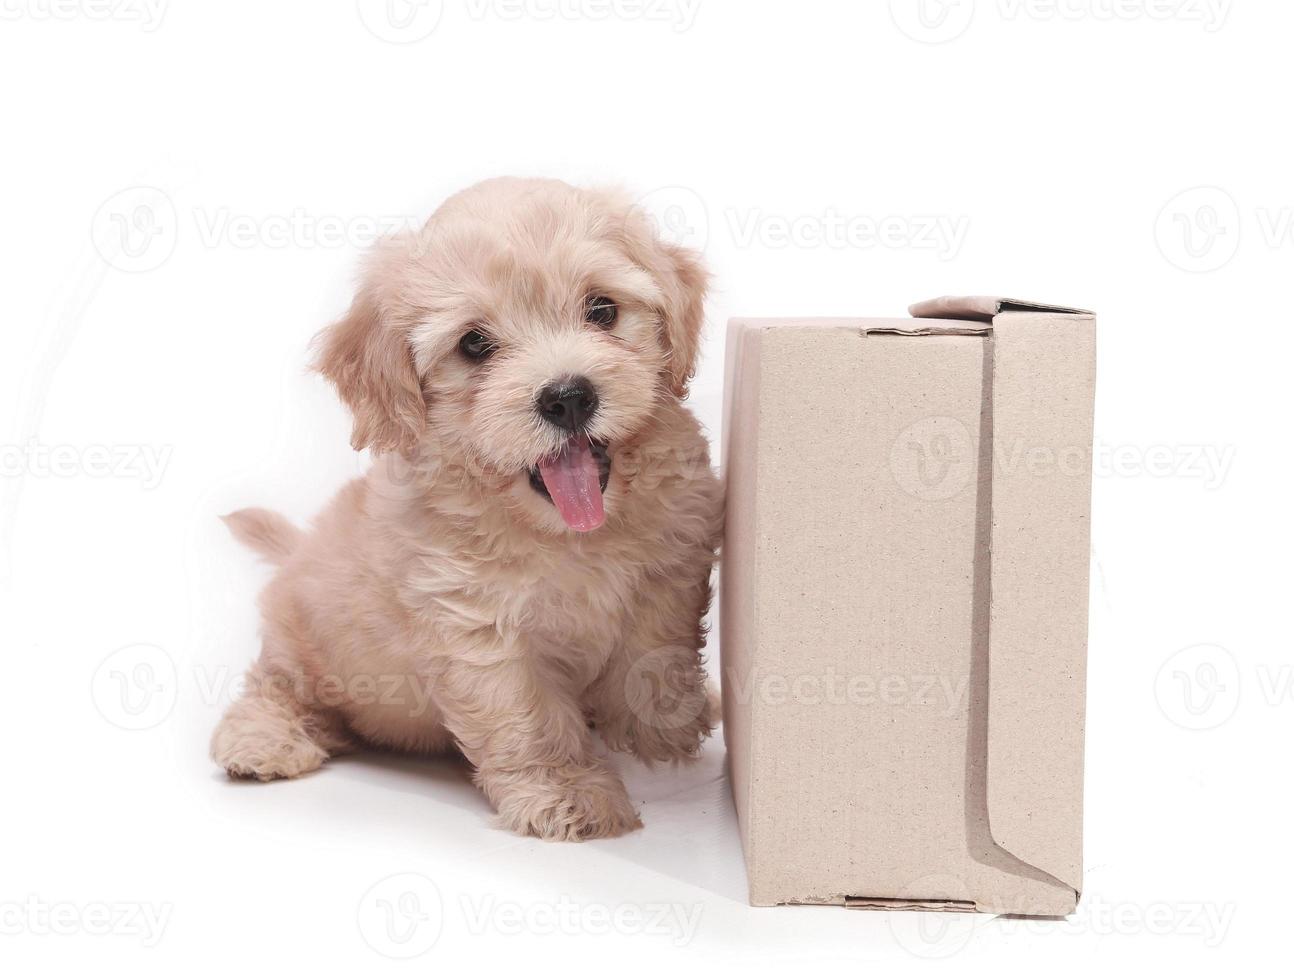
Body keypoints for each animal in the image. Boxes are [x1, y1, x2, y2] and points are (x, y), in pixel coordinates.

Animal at [207, 177, 724, 838]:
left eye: (602, 310)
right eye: (474, 344)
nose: (567, 397)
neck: (570, 534)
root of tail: (296, 551)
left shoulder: (672, 569)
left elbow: (656, 657)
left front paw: (663, 736)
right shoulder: (474, 623)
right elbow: (527, 716)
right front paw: (568, 793)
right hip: (303, 641)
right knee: (277, 686)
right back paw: (263, 739)